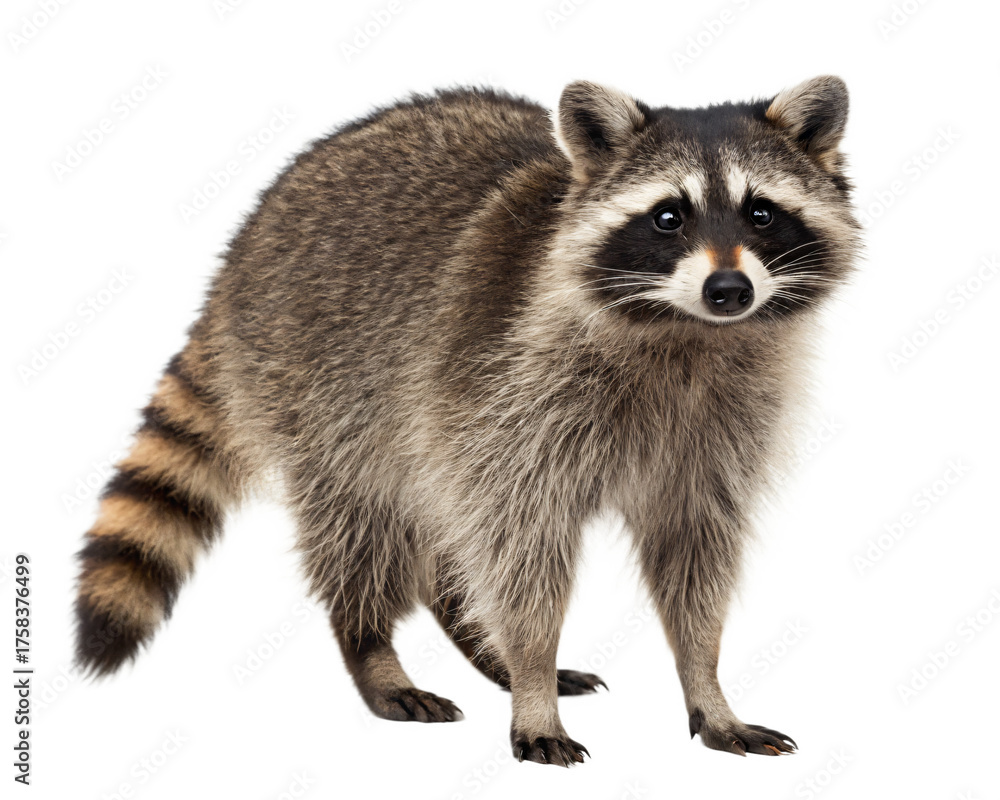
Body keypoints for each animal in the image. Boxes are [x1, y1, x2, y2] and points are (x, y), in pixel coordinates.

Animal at [74, 76, 858, 766]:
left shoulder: (718, 431)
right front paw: (534, 679)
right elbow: (522, 550)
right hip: (321, 380)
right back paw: (372, 644)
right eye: (669, 216)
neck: (687, 332)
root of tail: (244, 240)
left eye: (761, 213)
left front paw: (706, 682)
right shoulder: (509, 390)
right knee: (361, 518)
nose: (729, 289)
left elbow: (694, 554)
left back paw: (479, 644)